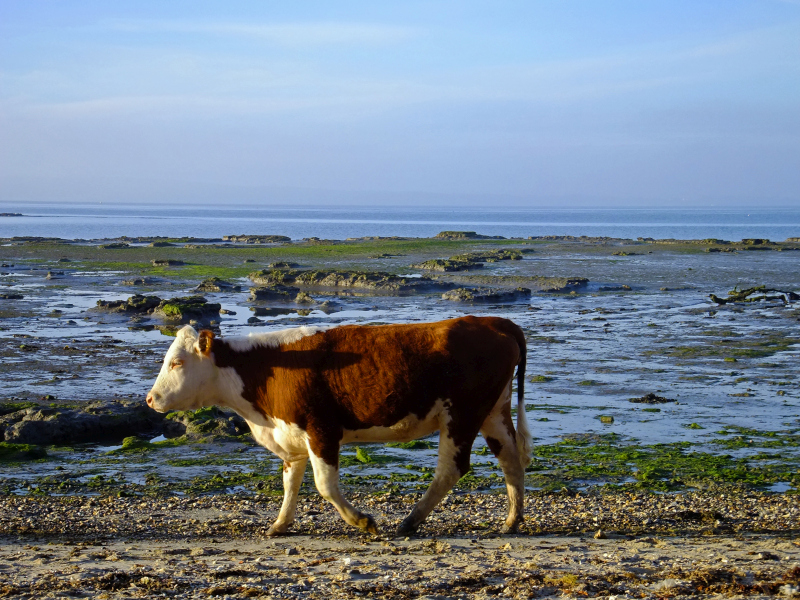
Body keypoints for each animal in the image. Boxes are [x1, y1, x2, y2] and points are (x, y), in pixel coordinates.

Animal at [147, 316, 532, 536]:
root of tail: (495, 322)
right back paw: (512, 520)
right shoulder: (291, 436)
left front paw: (362, 521)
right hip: (493, 411)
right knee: (511, 459)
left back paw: (411, 521)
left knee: (451, 468)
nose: (151, 399)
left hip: (462, 414)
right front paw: (280, 524)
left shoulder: (322, 430)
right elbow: (290, 483)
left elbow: (324, 485)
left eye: (177, 362)